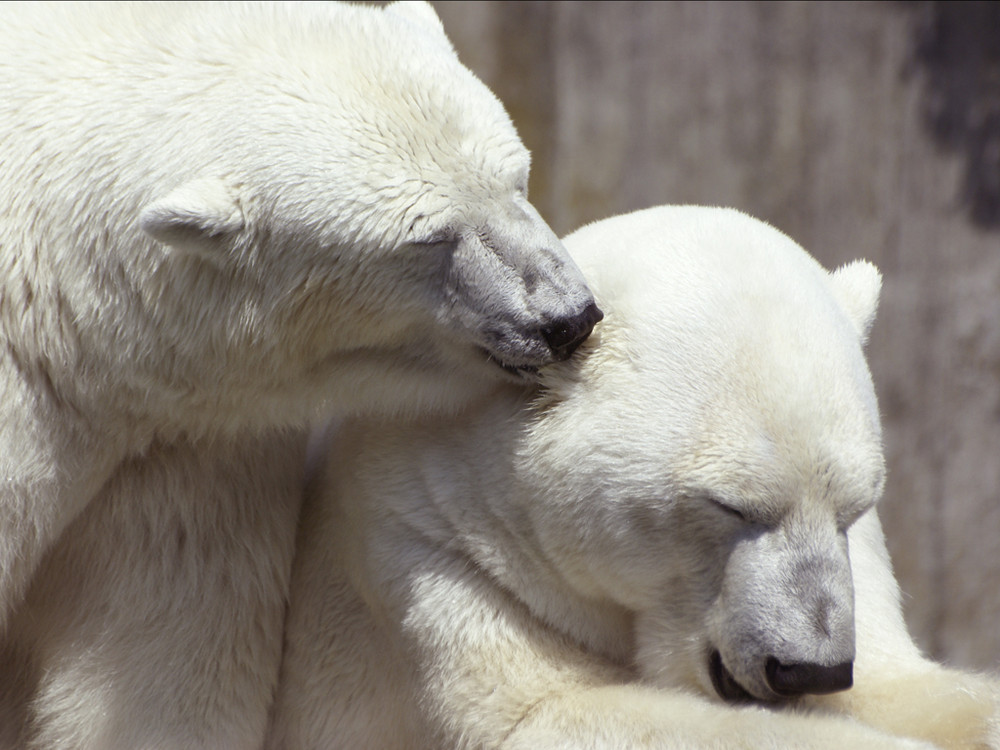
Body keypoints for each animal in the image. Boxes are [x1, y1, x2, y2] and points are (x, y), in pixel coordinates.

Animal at [272, 206, 1000, 750]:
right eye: (731, 506)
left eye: (853, 506)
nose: (808, 670)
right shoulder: (432, 547)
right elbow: (542, 716)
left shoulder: (857, 569)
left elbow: (898, 682)